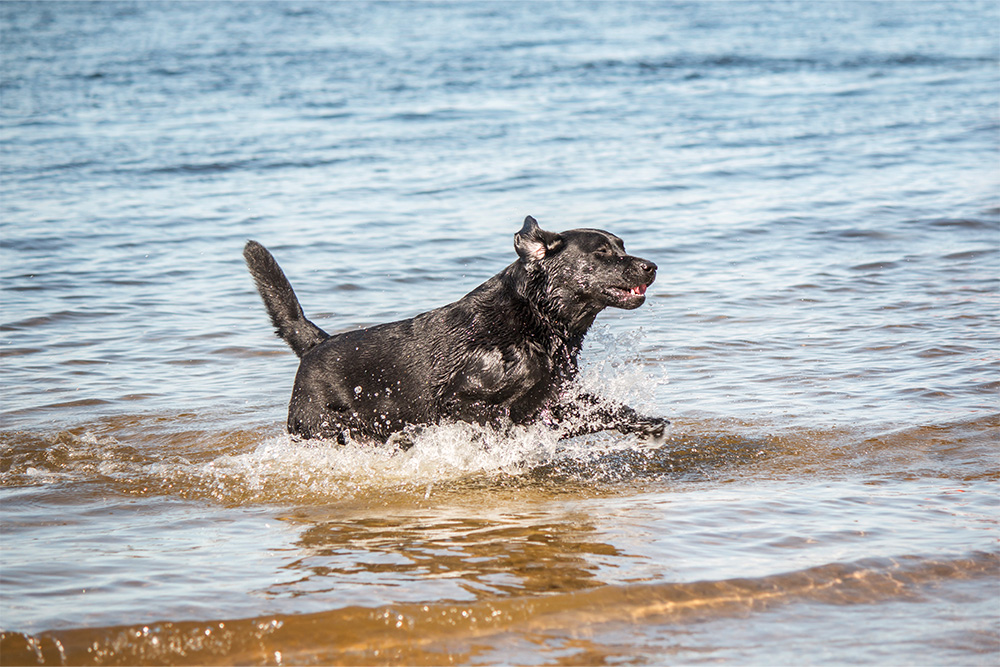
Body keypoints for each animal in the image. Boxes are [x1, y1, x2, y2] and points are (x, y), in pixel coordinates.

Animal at [245, 218, 668, 448]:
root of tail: (317, 343)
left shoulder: (551, 400)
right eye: (602, 253)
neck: (537, 317)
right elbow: (495, 426)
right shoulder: (461, 402)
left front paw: (647, 425)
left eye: (623, 246)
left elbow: (607, 410)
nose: (651, 266)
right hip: (320, 428)